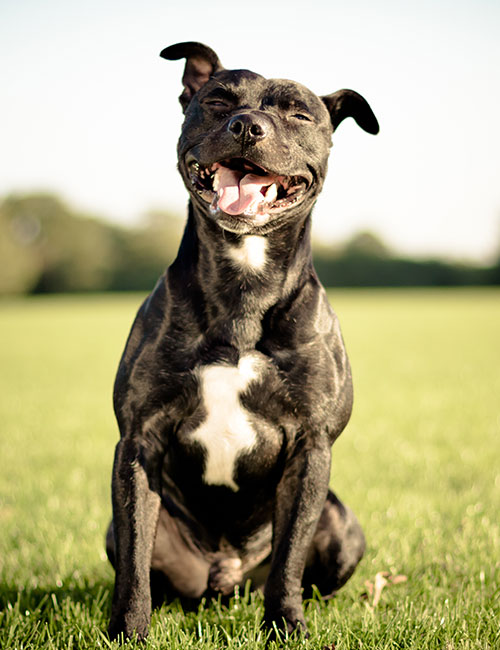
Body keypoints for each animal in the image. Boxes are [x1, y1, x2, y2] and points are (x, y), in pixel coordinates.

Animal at [106, 43, 378, 640]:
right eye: (218, 101)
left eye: (299, 114)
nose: (247, 126)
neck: (243, 286)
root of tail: (225, 578)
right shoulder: (139, 441)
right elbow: (135, 559)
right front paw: (128, 632)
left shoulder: (310, 448)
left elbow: (290, 557)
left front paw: (285, 626)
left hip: (343, 526)